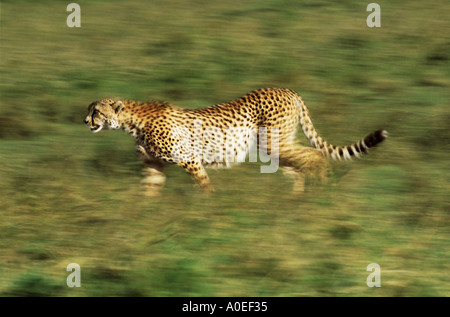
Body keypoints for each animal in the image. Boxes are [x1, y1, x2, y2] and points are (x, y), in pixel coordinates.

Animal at [83, 87, 386, 194]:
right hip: (275, 149)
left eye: (96, 111)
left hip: (274, 143)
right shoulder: (153, 166)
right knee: (298, 168)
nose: (85, 121)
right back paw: (294, 202)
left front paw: (208, 212)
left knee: (315, 156)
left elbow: (204, 186)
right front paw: (145, 217)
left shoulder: (189, 159)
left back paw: (320, 193)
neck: (132, 122)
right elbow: (149, 193)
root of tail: (287, 90)